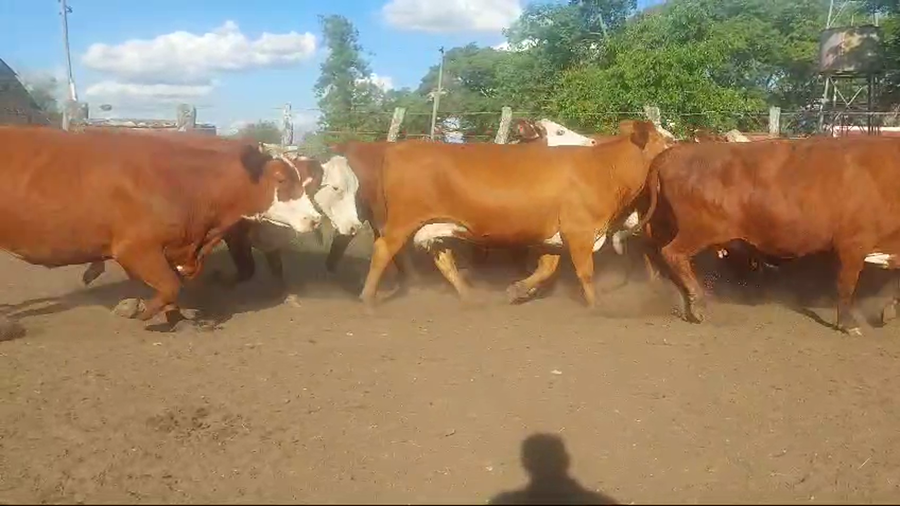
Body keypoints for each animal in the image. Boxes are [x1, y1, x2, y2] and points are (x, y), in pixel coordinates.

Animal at [0, 126, 323, 338]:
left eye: (303, 180)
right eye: (280, 179)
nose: (315, 219)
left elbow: (173, 286)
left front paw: (176, 318)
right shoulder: (134, 249)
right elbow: (170, 285)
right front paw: (144, 311)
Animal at [357, 120, 672, 311]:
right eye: (668, 140)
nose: (681, 147)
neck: (604, 169)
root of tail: (400, 147)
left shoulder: (555, 236)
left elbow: (546, 268)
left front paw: (518, 290)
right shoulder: (579, 232)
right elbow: (586, 273)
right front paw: (597, 307)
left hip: (436, 226)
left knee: (443, 260)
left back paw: (470, 297)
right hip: (402, 222)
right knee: (383, 251)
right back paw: (368, 300)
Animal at [638, 135, 900, 336]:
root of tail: (675, 152)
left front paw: (888, 311)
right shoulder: (853, 244)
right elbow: (846, 285)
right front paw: (848, 323)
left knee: (660, 255)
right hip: (699, 230)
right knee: (672, 254)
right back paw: (697, 302)